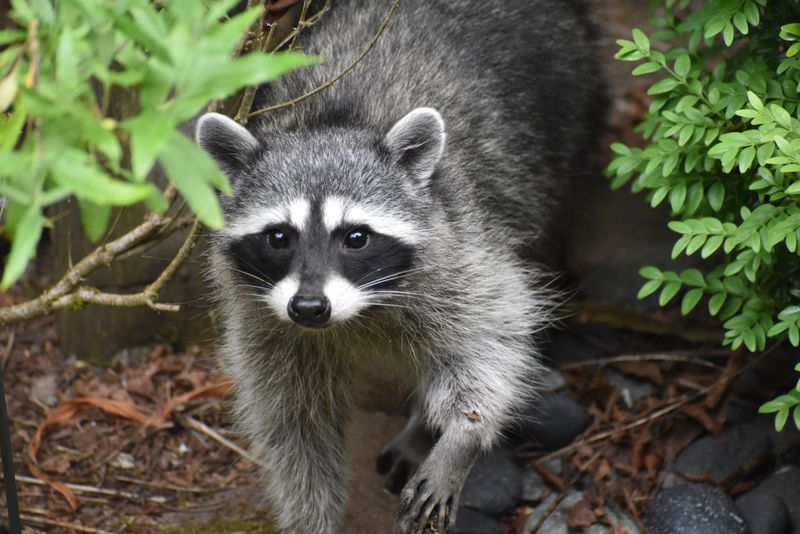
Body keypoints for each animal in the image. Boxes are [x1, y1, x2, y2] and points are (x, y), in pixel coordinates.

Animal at [195, 1, 603, 532]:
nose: (309, 307)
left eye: (356, 238)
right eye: (279, 237)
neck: (329, 122)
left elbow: (491, 342)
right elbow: (295, 428)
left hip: (566, 113)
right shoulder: (263, 320)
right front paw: (311, 514)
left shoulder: (464, 250)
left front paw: (461, 435)